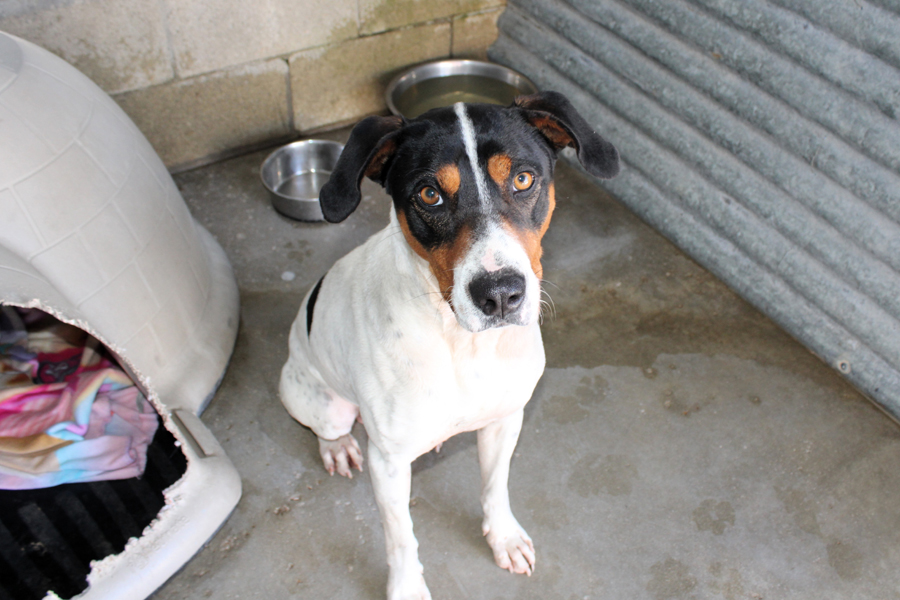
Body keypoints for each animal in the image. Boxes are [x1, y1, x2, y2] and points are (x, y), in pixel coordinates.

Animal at [280, 91, 618, 600]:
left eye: (523, 179)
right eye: (429, 194)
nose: (500, 294)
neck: (462, 344)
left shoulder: (505, 420)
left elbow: (495, 486)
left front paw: (503, 538)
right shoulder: (388, 463)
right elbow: (400, 537)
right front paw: (406, 587)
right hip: (322, 401)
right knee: (328, 425)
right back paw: (337, 447)